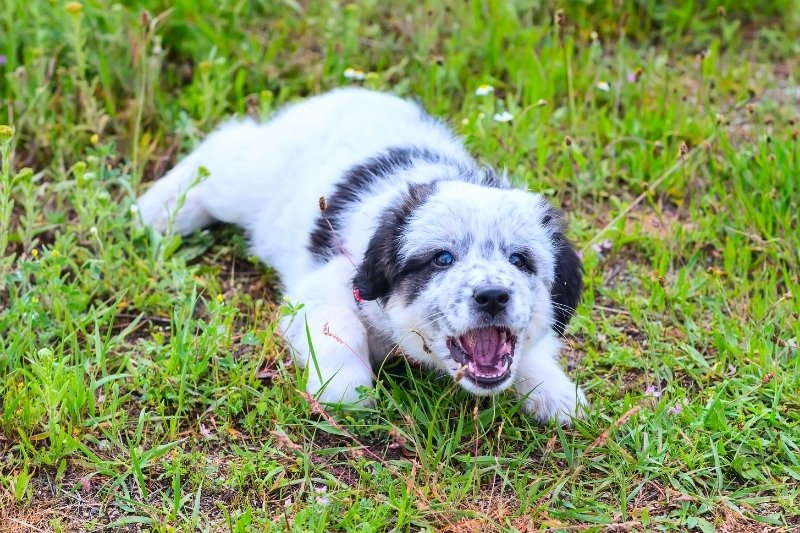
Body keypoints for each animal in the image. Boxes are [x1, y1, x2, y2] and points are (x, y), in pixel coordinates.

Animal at [139, 87, 588, 424]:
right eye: (442, 259)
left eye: (519, 261)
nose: (493, 296)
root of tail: (349, 92)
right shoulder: (322, 287)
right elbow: (339, 324)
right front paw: (345, 390)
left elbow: (535, 346)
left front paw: (556, 391)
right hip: (245, 181)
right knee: (224, 147)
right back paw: (156, 210)